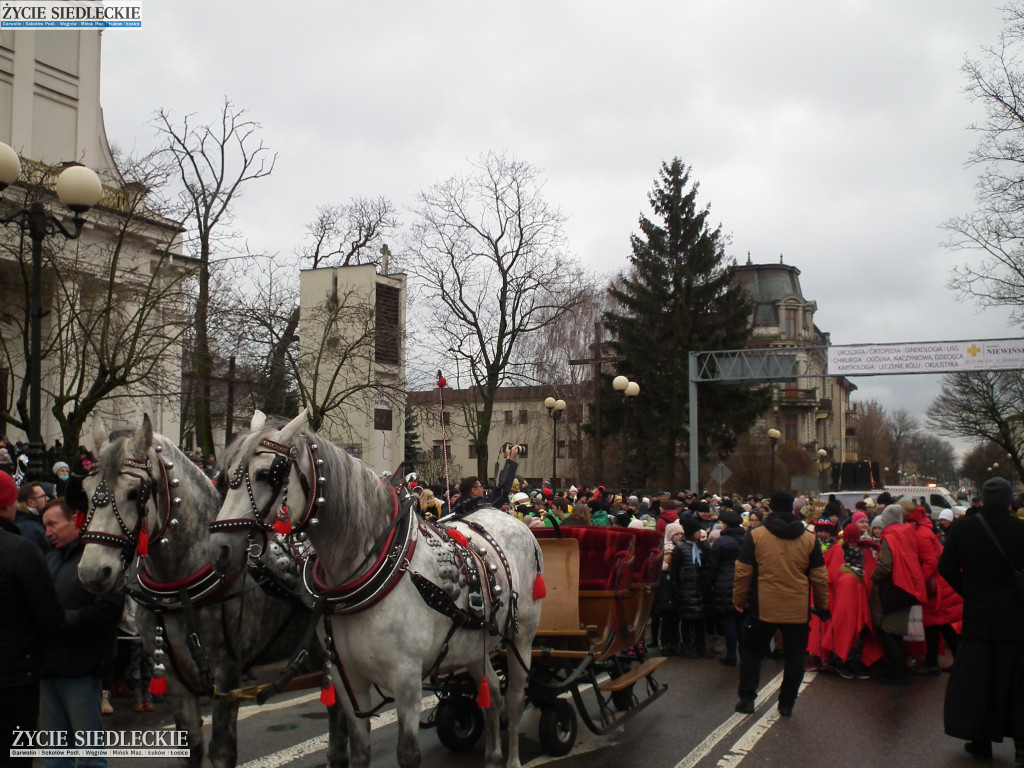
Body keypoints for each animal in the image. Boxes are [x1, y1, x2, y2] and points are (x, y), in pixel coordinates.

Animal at [76, 415, 348, 768]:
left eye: (135, 493)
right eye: (85, 490)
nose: (92, 571)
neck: (180, 588)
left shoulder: (226, 678)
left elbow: (221, 752)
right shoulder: (175, 682)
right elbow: (190, 749)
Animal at [207, 411, 544, 768]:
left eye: (266, 474)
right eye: (224, 475)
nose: (219, 549)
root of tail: (502, 515)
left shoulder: (407, 681)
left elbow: (408, 753)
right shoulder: (348, 681)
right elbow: (359, 750)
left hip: (521, 639)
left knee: (513, 699)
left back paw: (512, 758)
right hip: (475, 647)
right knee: (490, 692)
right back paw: (493, 755)